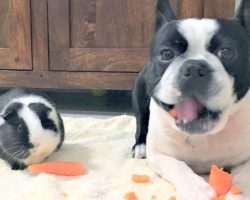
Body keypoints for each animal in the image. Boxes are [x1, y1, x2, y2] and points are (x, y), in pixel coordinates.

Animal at [133, 0, 250, 199]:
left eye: (227, 52)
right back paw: (139, 145)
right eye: (166, 54)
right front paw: (196, 189)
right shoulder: (158, 154)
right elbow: (176, 165)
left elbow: (245, 175)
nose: (194, 67)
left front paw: (239, 192)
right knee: (141, 119)